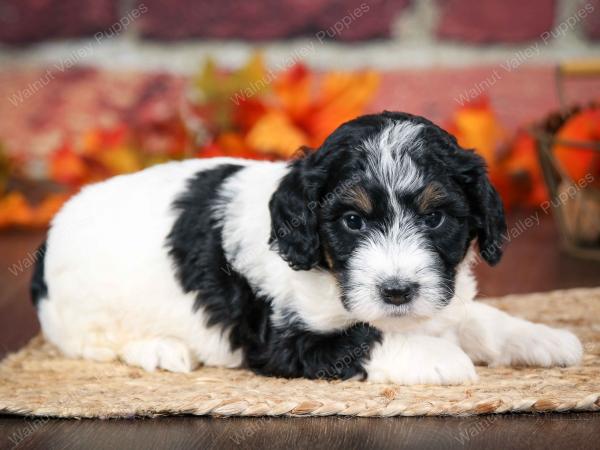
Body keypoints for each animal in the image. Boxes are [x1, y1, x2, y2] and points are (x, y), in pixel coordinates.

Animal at [31, 111, 580, 384]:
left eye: (435, 218)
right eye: (353, 221)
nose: (397, 292)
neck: (329, 272)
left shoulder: (441, 300)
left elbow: (477, 318)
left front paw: (543, 338)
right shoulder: (280, 337)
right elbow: (365, 338)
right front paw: (439, 357)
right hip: (86, 314)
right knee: (95, 344)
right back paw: (162, 350)